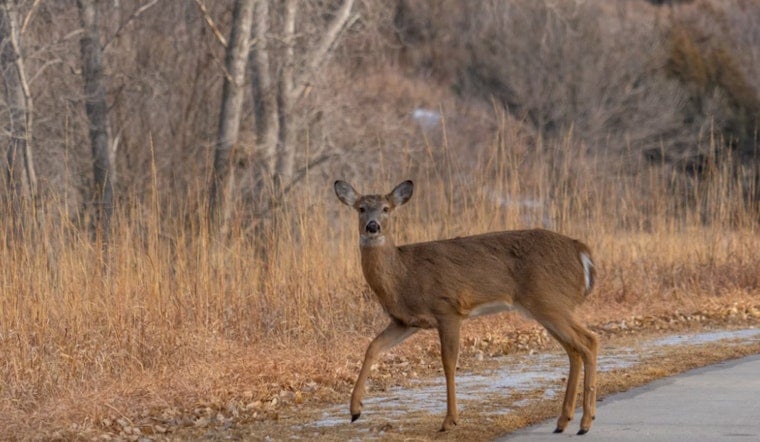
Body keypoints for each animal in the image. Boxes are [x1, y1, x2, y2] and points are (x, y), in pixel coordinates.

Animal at [334, 179, 599, 435]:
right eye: (361, 208)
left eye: (386, 208)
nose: (372, 227)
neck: (403, 274)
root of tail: (581, 251)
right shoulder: (406, 321)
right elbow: (373, 347)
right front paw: (355, 410)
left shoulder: (448, 309)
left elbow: (449, 363)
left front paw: (449, 420)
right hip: (549, 307)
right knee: (574, 350)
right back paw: (563, 421)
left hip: (550, 302)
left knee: (589, 341)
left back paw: (585, 422)